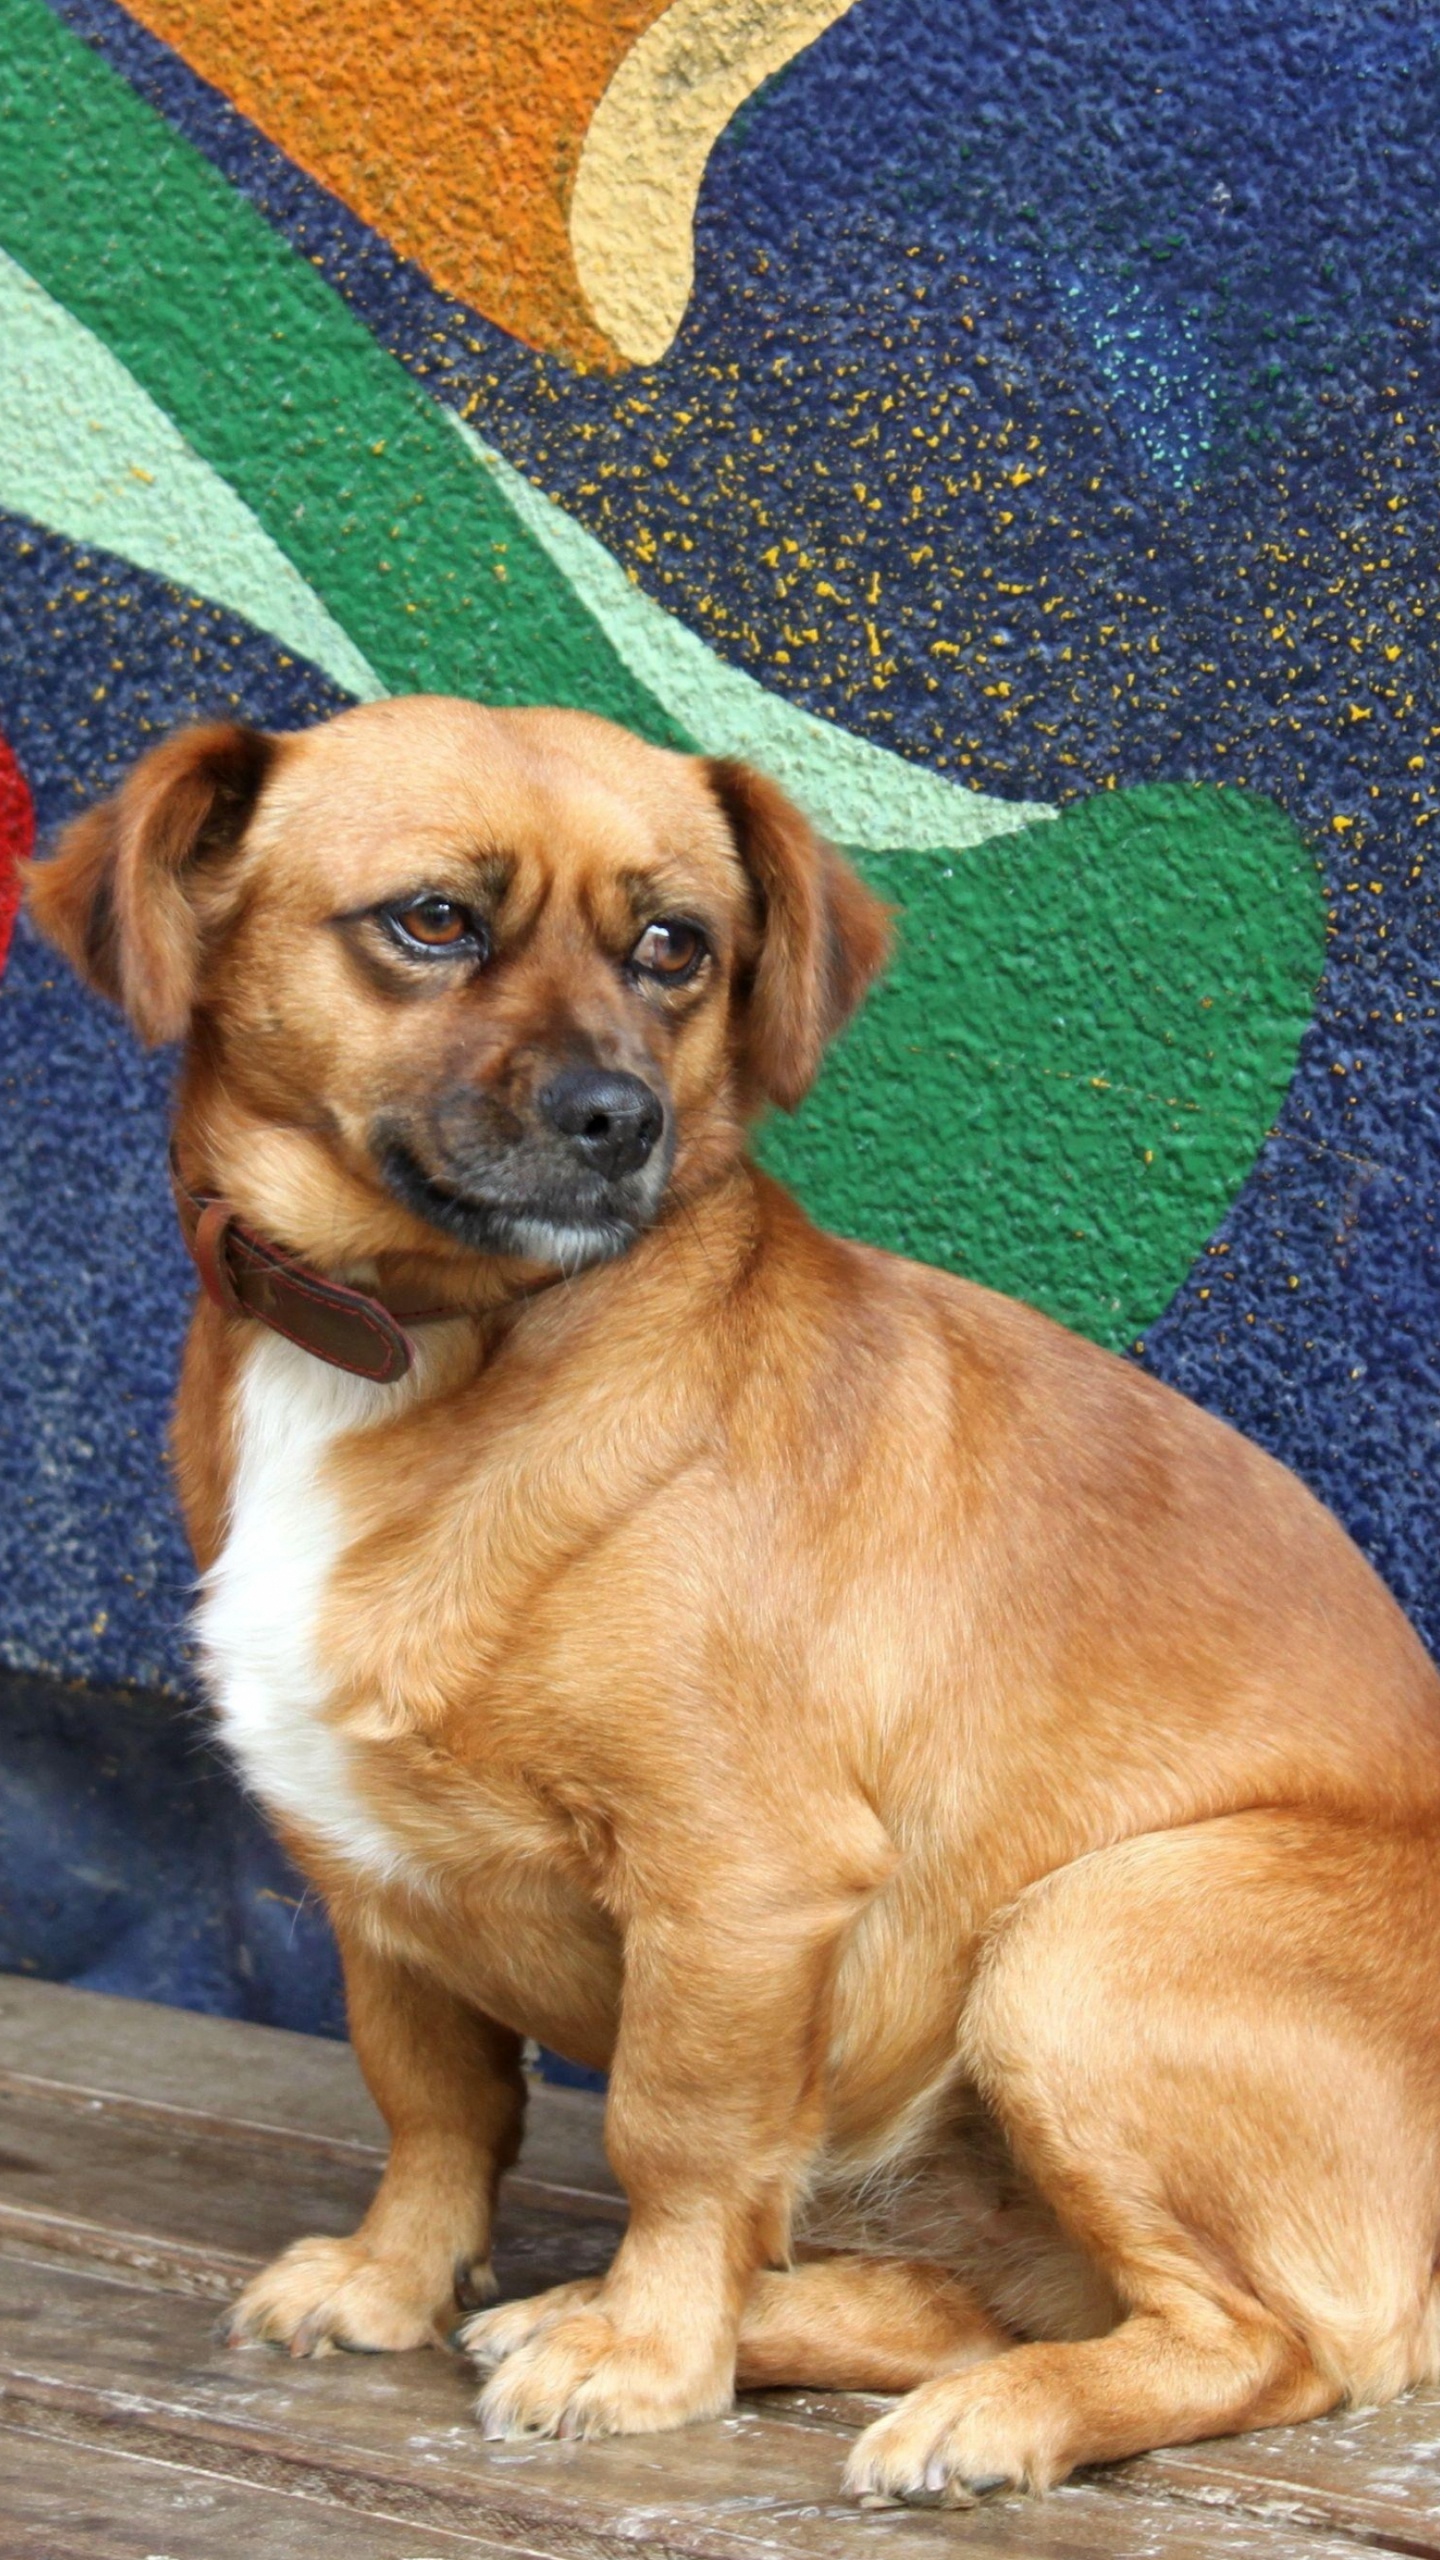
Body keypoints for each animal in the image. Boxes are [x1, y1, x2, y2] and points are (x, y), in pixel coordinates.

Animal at [25, 691, 1440, 2488]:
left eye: (675, 948)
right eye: (434, 921)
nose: (619, 1117)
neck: (429, 1339)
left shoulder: (739, 1888)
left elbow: (674, 2135)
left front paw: (646, 2354)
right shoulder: (370, 1885)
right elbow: (436, 2105)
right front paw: (398, 2281)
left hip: (1087, 1939)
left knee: (1275, 2345)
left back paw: (972, 2411)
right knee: (974, 2298)